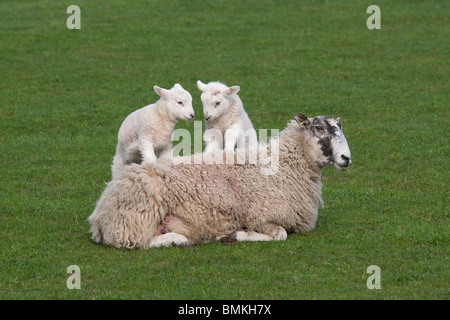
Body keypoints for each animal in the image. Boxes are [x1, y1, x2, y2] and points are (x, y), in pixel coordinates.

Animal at [89, 114, 352, 249]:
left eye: (340, 127)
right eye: (319, 128)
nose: (346, 158)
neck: (285, 165)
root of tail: (99, 215)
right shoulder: (260, 216)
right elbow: (280, 234)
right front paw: (235, 236)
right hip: (134, 220)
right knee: (137, 241)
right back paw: (178, 240)